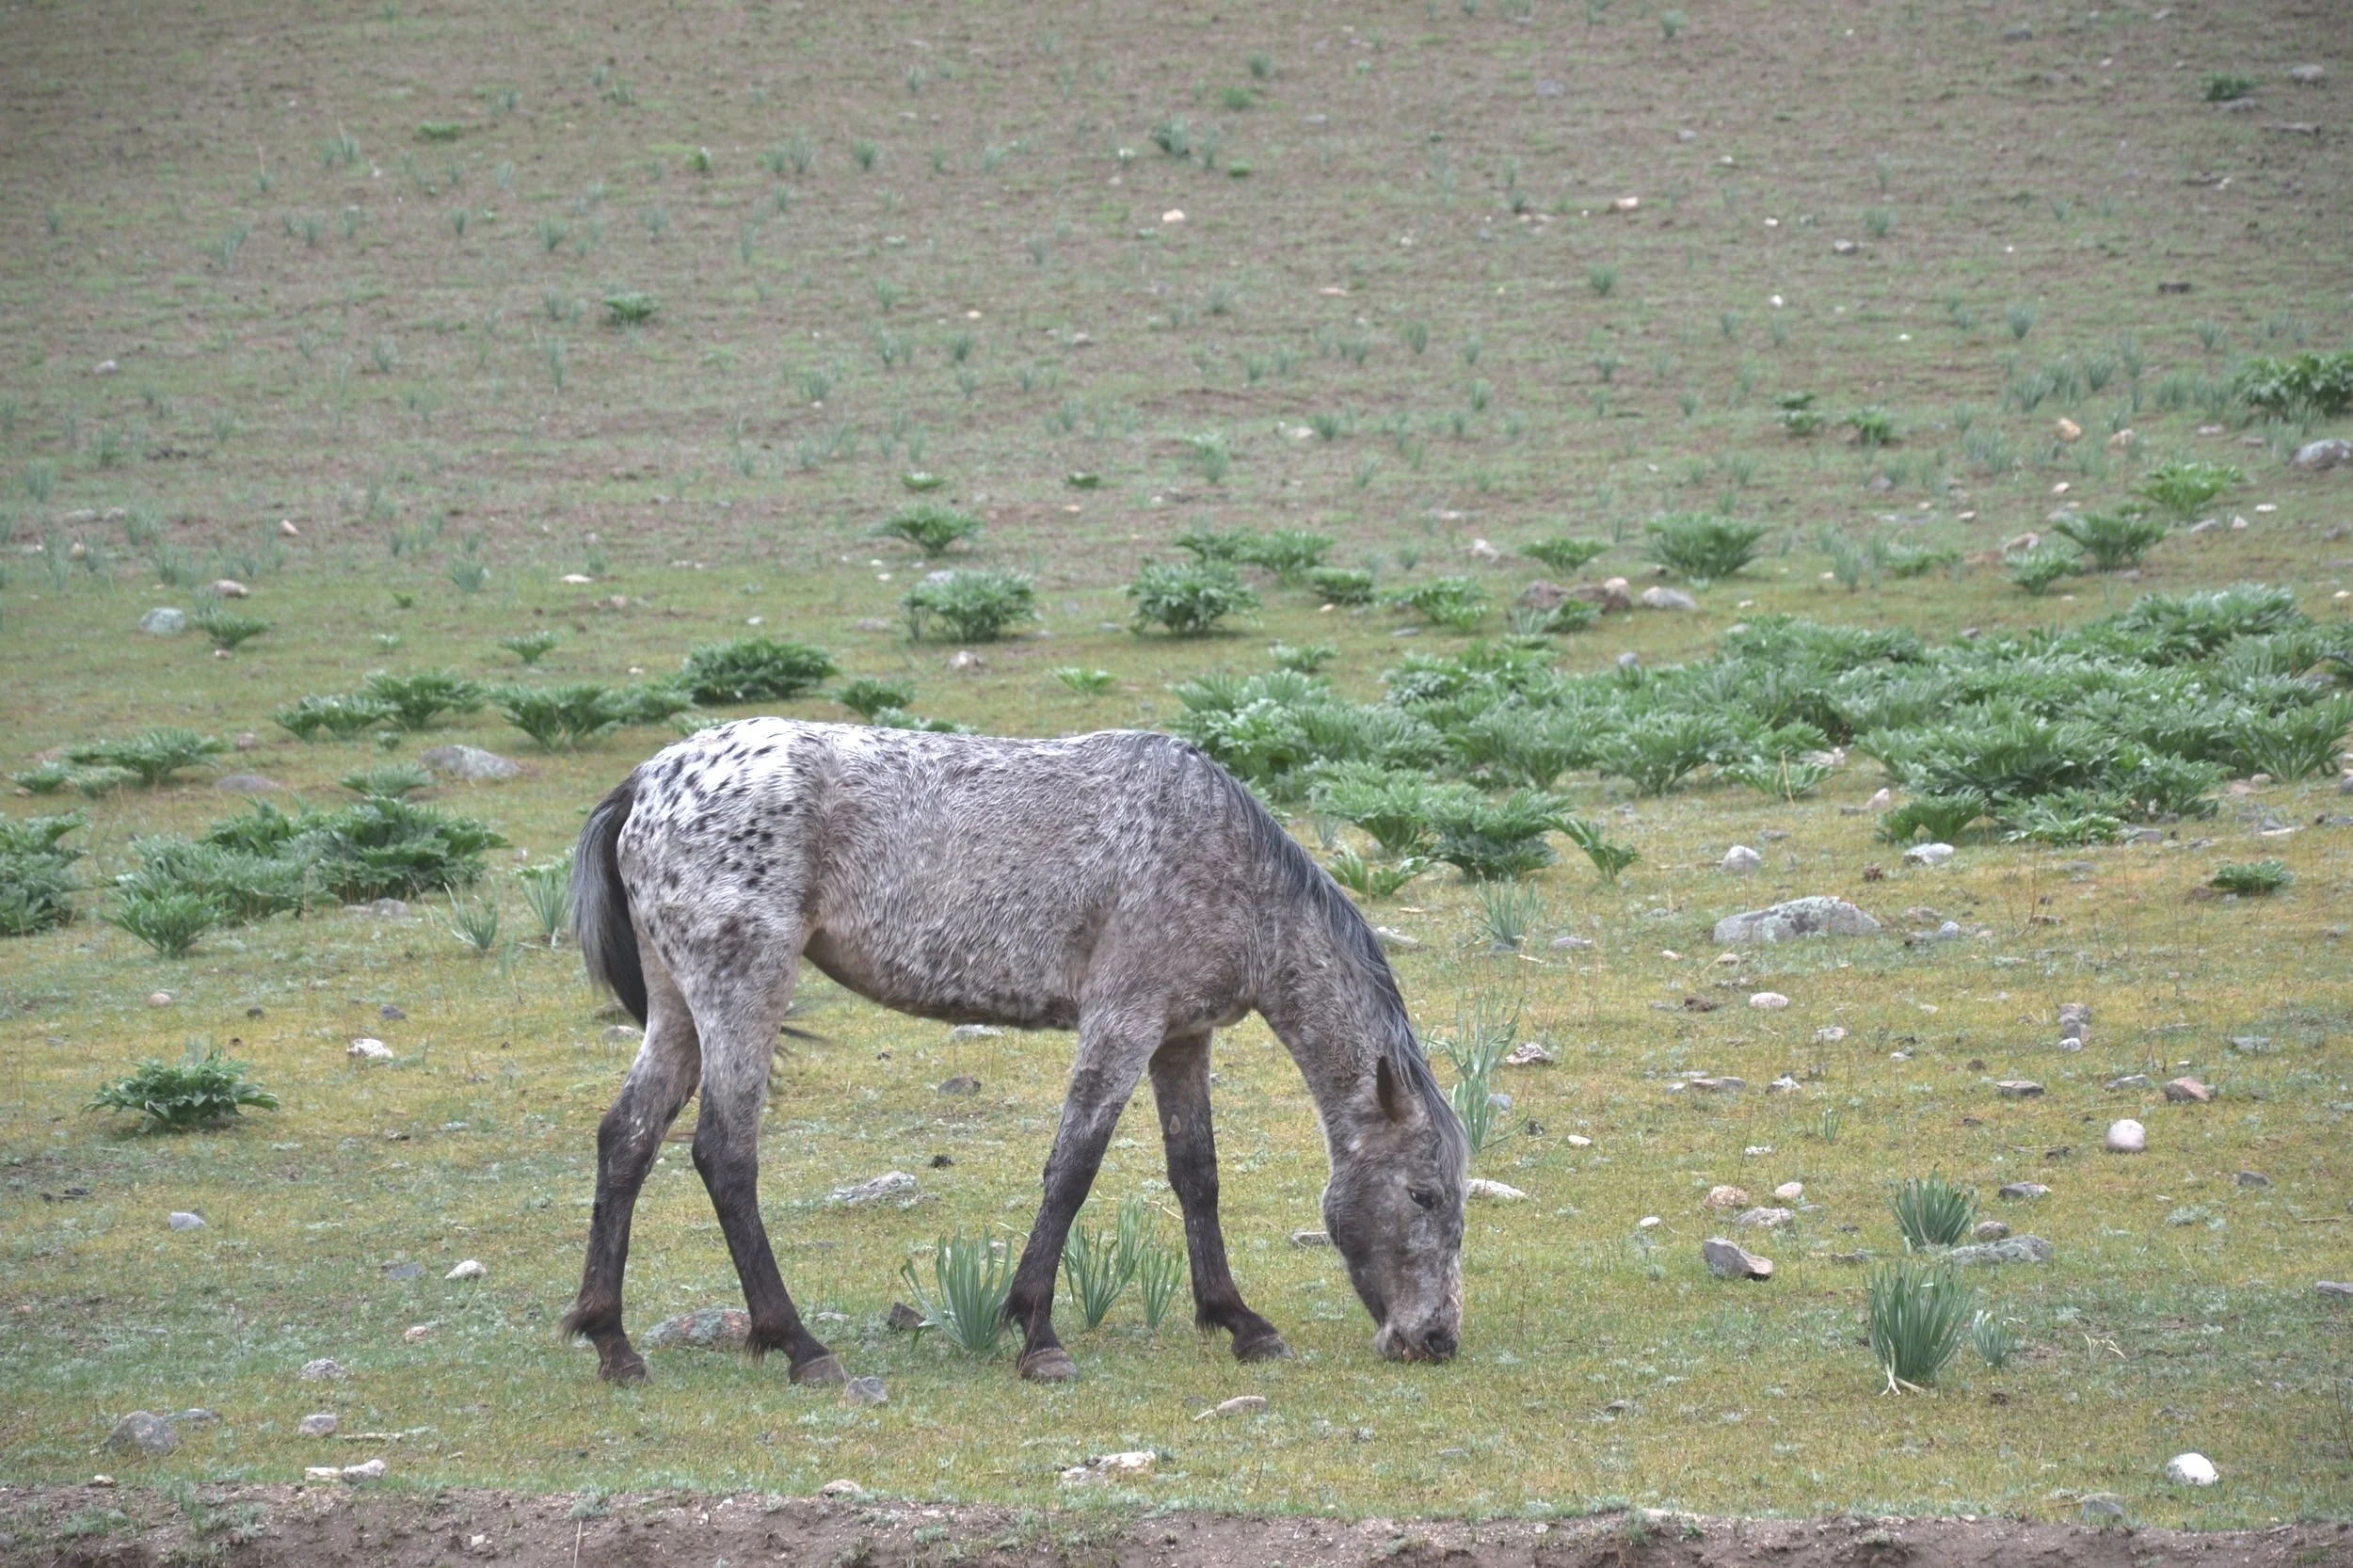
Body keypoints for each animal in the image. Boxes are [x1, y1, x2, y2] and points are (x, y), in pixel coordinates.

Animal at [561, 718, 1467, 1385]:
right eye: (1424, 1196)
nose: (1437, 1339)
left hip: (678, 1008)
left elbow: (1196, 1174)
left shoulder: (1182, 1036)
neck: (1231, 868)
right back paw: (799, 1346)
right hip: (742, 989)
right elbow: (1073, 1170)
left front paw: (1237, 1321)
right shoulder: (1122, 1021)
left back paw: (614, 1344)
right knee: (724, 1153)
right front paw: (1038, 1334)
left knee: (626, 1137)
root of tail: (649, 779)